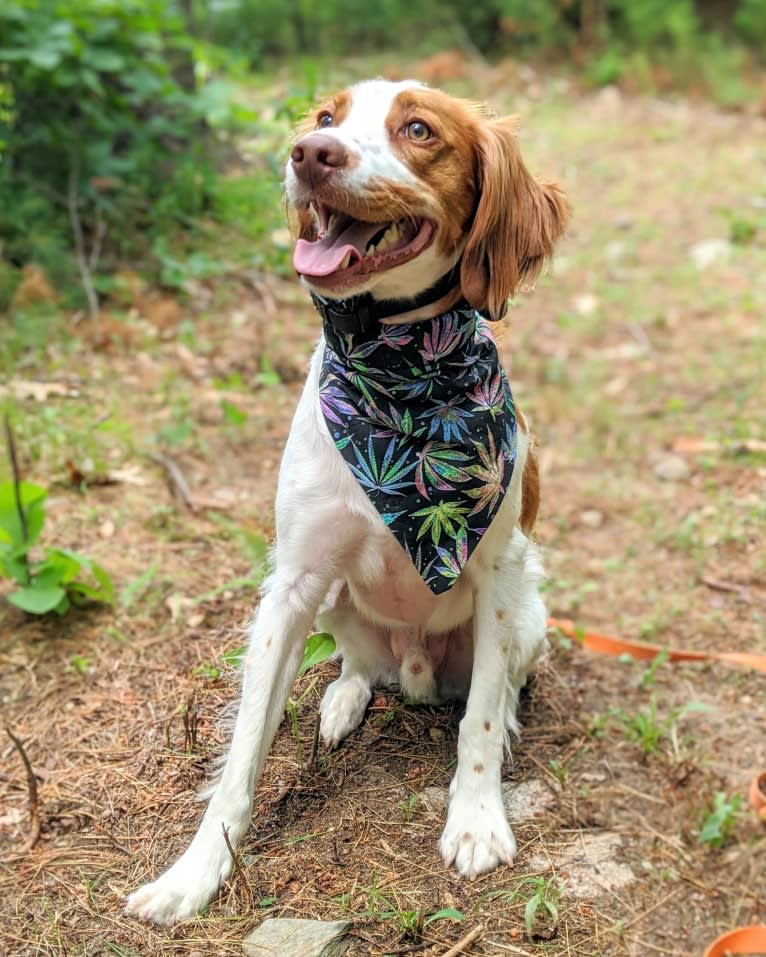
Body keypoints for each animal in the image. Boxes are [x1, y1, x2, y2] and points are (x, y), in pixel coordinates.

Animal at [126, 78, 568, 924]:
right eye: (325, 118)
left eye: (419, 130)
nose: (310, 154)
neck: (399, 375)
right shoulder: (292, 582)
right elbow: (242, 753)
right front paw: (195, 872)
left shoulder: (500, 573)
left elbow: (479, 718)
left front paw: (476, 820)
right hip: (333, 600)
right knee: (361, 664)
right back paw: (342, 700)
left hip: (532, 612)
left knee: (495, 688)